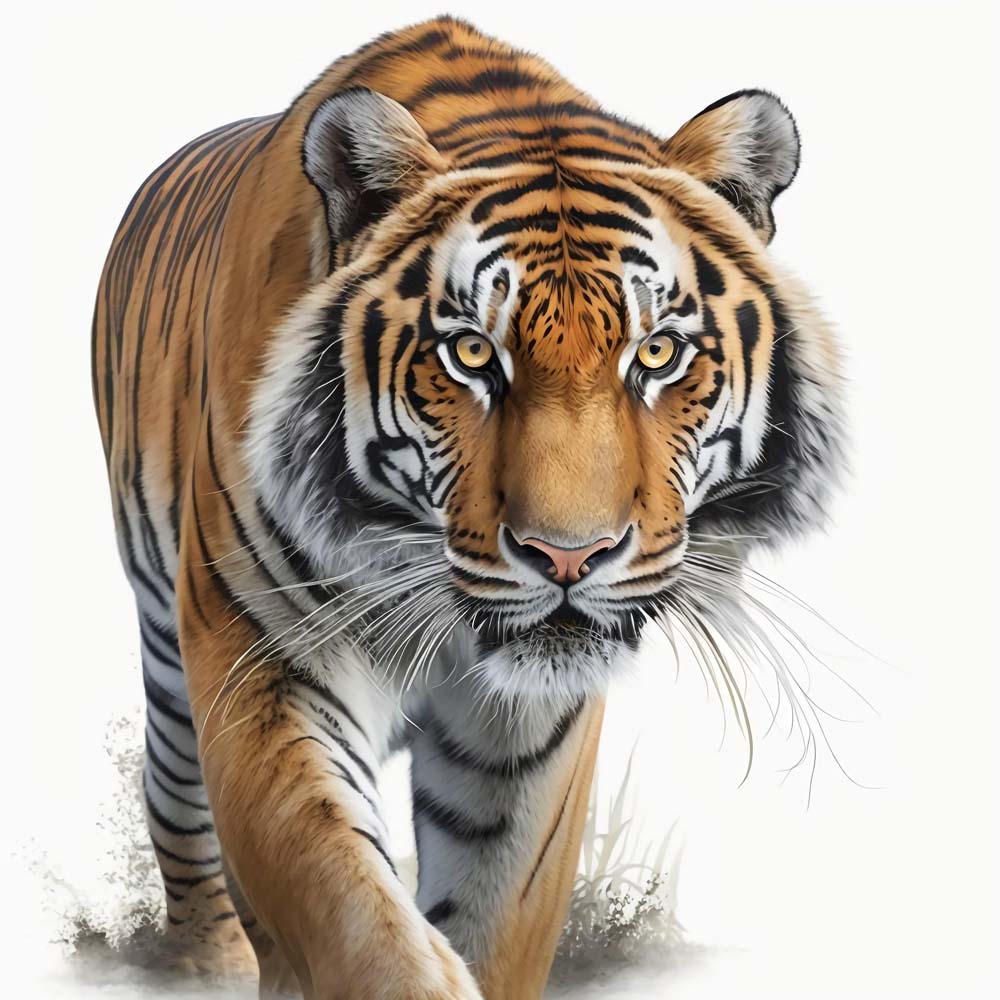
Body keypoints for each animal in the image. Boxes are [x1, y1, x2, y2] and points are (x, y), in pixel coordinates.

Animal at [91, 14, 845, 1000]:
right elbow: (342, 900)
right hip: (173, 668)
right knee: (181, 814)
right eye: (472, 355)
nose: (570, 558)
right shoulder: (261, 657)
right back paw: (201, 963)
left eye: (657, 354)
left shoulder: (528, 737)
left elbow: (498, 906)